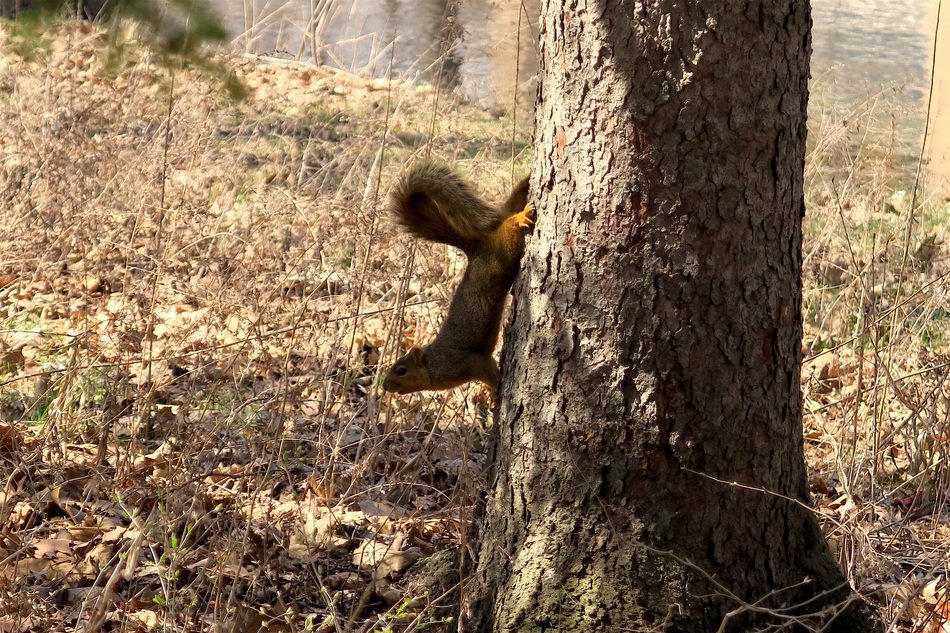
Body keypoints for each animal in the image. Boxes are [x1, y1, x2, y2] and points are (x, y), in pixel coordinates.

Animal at [384, 164, 536, 390]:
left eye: (402, 370)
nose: (384, 386)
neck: (435, 364)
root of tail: (478, 244)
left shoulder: (469, 362)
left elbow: (487, 370)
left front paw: (495, 392)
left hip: (505, 252)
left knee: (510, 225)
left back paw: (518, 218)